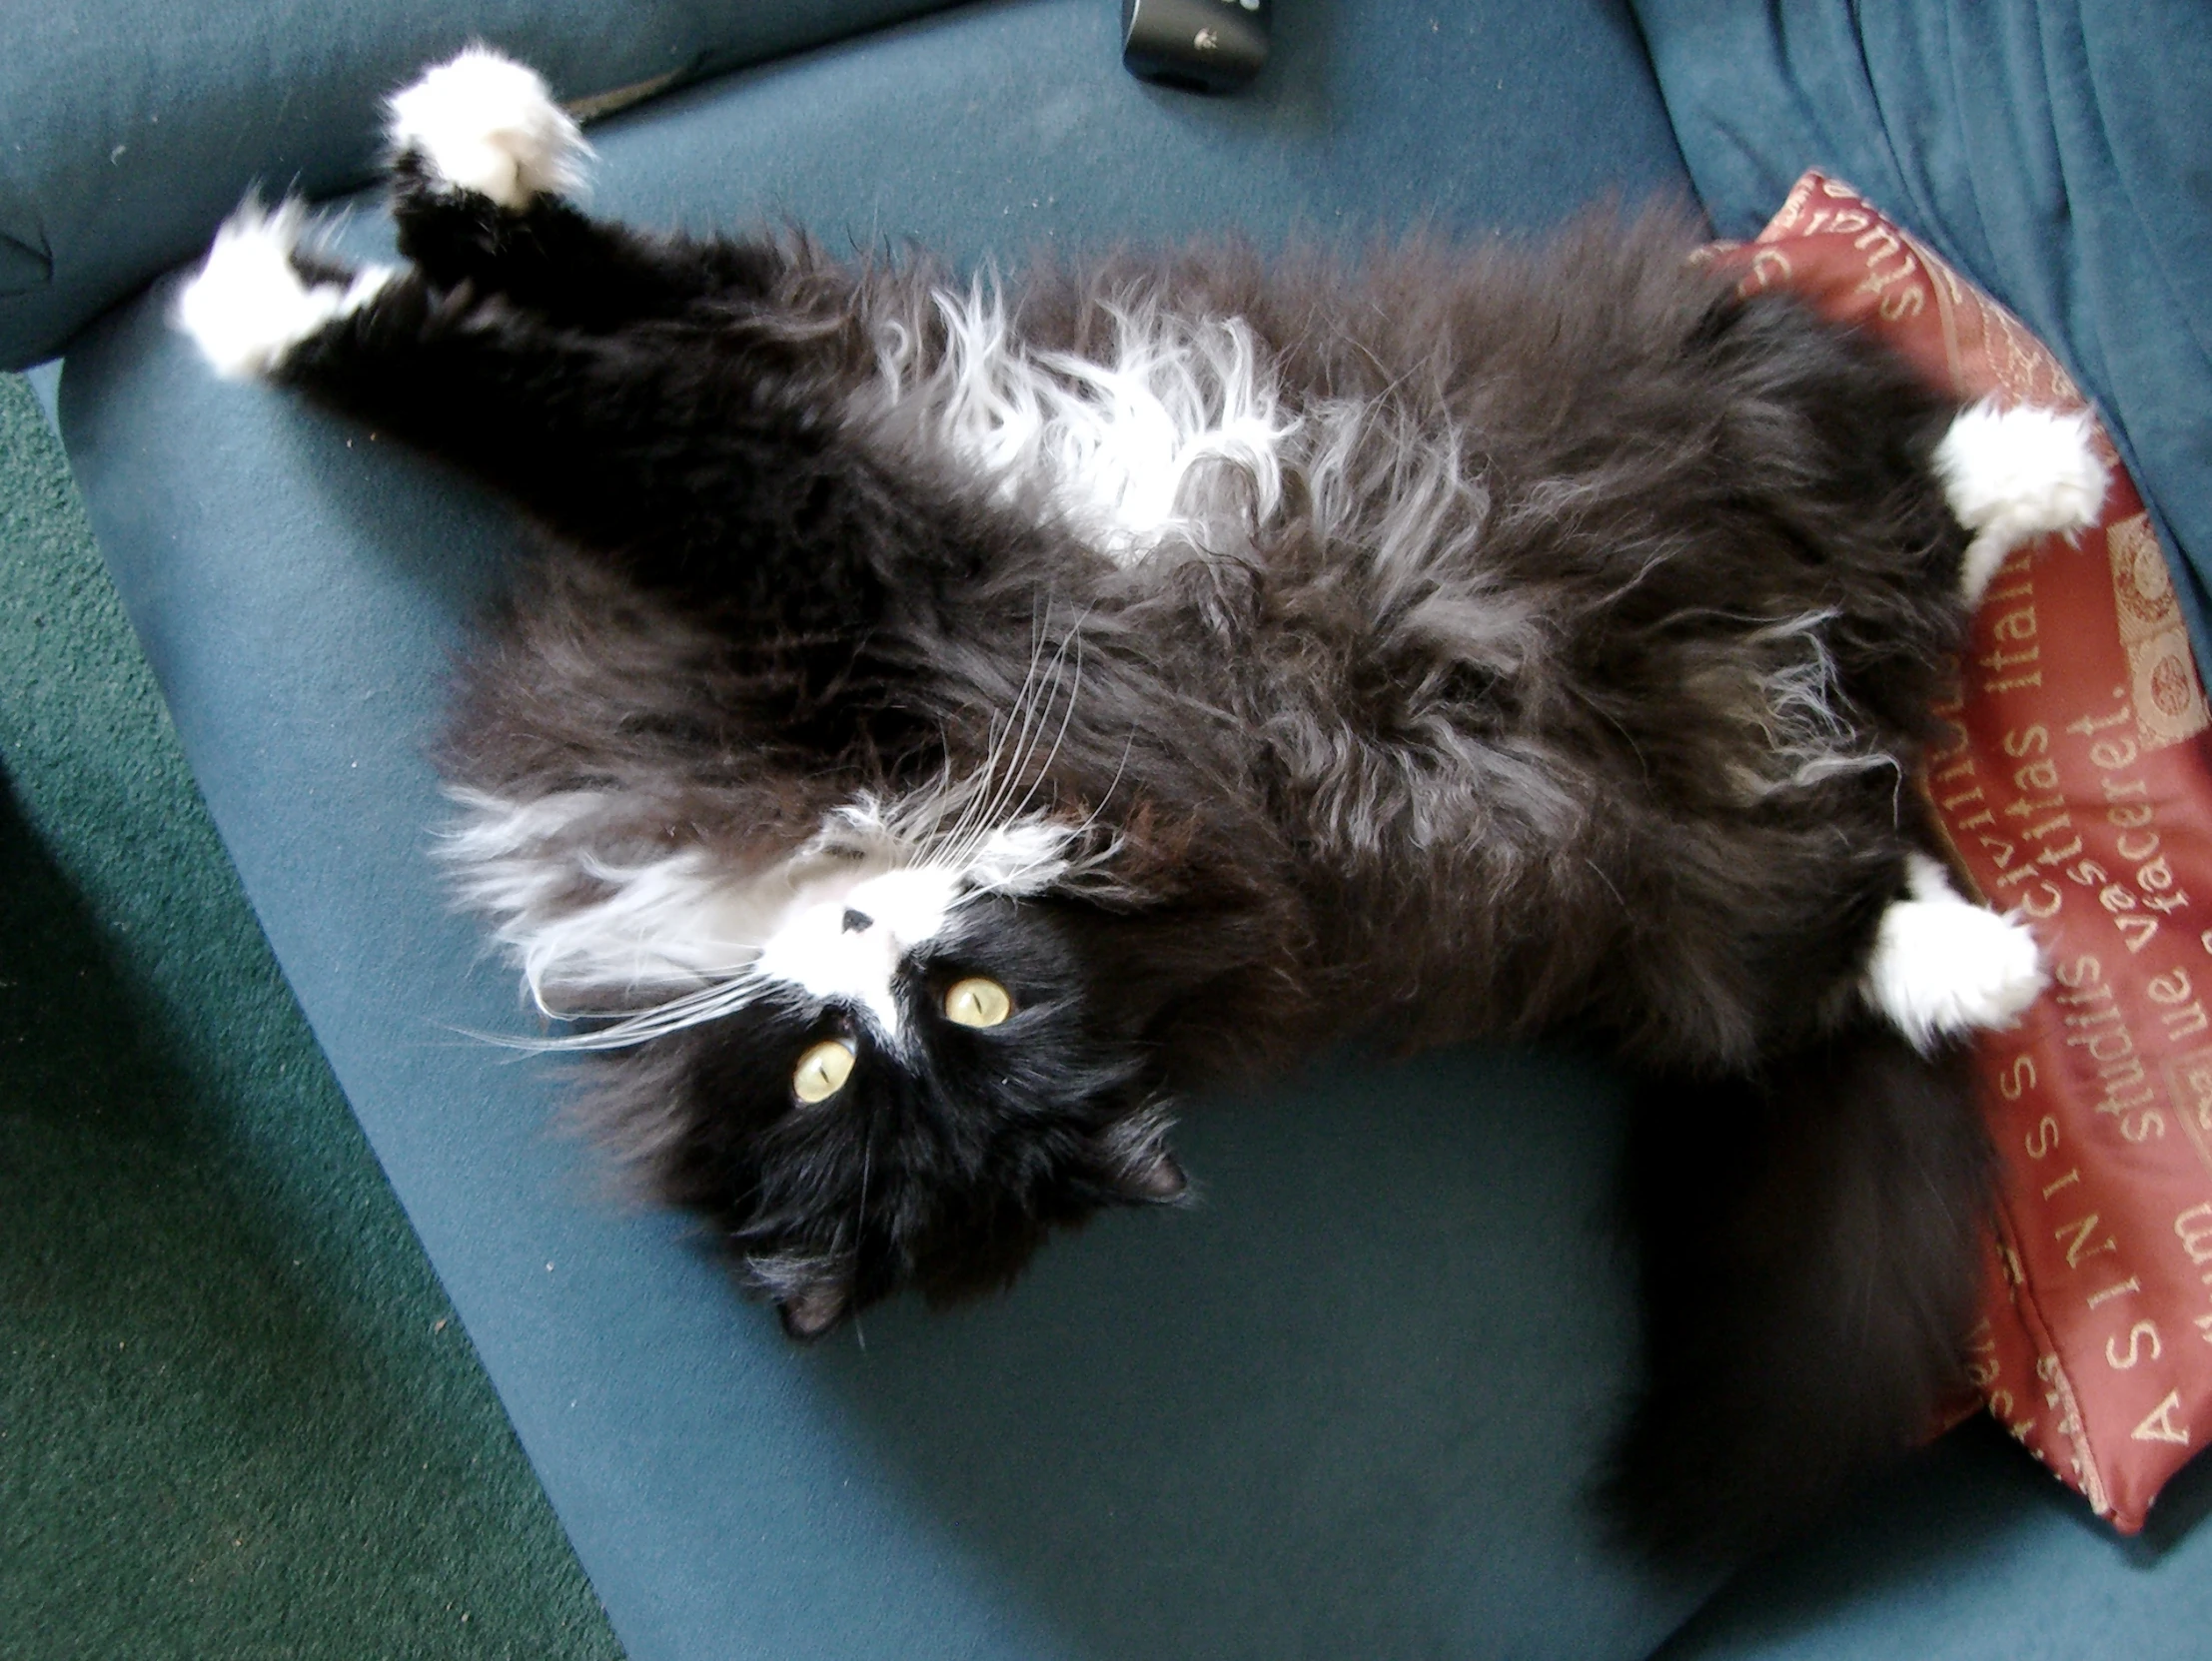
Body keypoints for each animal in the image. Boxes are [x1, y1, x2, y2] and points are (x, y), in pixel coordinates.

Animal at [172, 45, 2105, 1565]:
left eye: (969, 1003)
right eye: (824, 1073)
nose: (873, 931)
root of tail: (1826, 694)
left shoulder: (837, 503)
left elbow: (574, 374)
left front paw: (348, 241)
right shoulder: (825, 435)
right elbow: (590, 332)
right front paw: (404, 213)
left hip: (1738, 400)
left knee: (1908, 510)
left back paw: (2040, 468)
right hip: (1703, 873)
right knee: (1861, 869)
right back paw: (1986, 913)